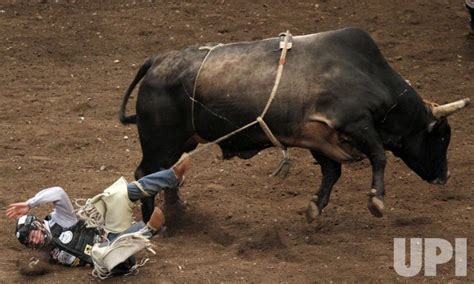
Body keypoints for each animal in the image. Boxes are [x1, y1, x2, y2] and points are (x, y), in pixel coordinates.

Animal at [119, 27, 470, 223]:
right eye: (441, 137)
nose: (444, 177)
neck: (368, 75)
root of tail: (158, 60)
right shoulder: (355, 123)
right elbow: (379, 156)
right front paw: (377, 201)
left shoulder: (320, 139)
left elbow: (332, 172)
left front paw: (316, 207)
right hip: (159, 141)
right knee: (145, 173)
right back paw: (152, 221)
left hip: (182, 141)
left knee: (169, 173)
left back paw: (177, 209)